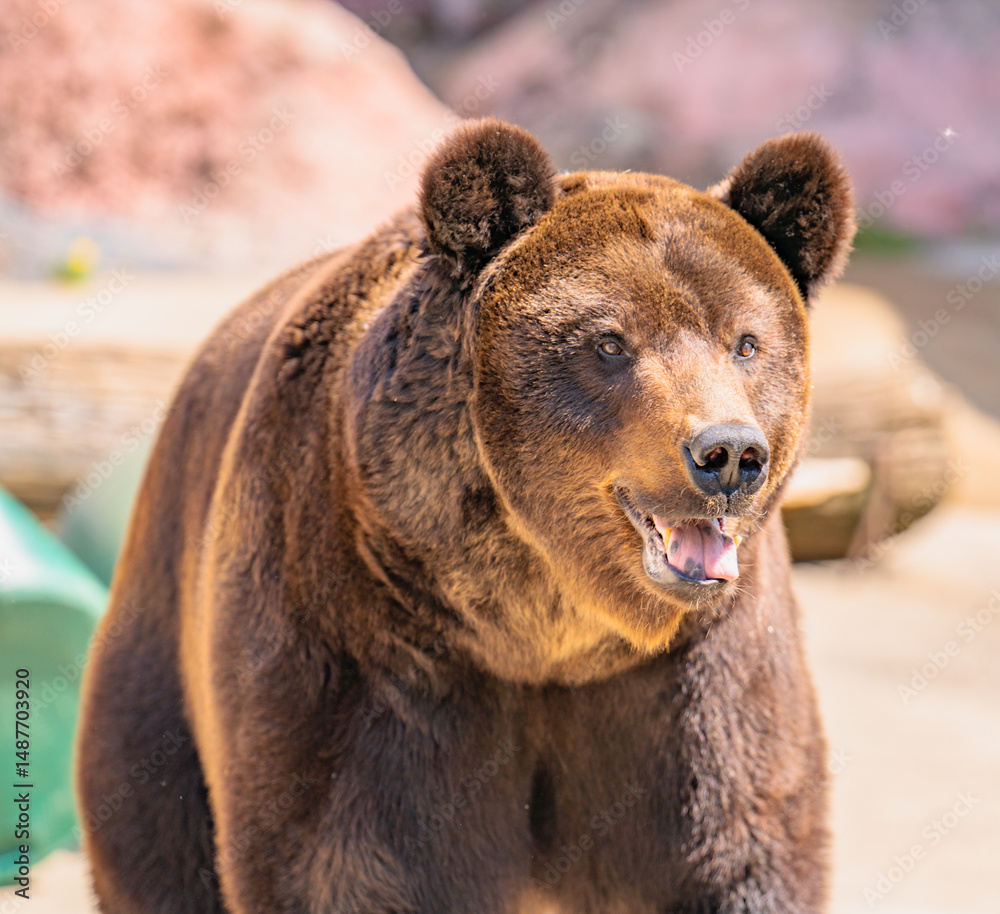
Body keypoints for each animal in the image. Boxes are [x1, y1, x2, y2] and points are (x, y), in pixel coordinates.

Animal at [76, 117, 854, 914]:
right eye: (610, 342)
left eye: (746, 342)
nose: (727, 453)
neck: (547, 632)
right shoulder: (365, 633)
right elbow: (343, 858)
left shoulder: (695, 673)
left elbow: (737, 844)